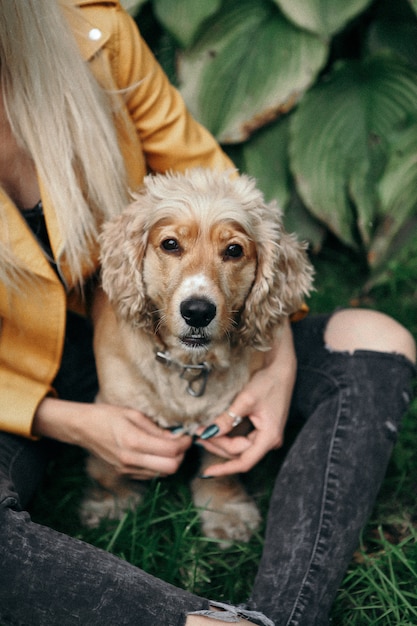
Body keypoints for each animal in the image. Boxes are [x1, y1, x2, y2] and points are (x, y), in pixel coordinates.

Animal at [81, 166, 312, 540]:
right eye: (170, 244)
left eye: (233, 250)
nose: (198, 311)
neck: (189, 365)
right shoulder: (117, 403)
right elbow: (107, 465)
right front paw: (109, 503)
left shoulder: (231, 414)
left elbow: (221, 465)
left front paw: (225, 510)